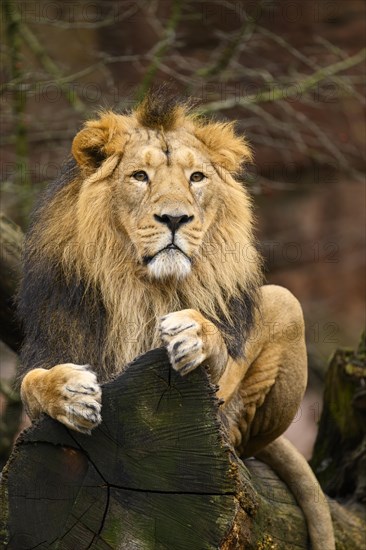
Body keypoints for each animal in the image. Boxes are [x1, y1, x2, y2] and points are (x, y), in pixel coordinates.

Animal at [19, 92, 334, 548]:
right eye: (140, 176)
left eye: (196, 177)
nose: (174, 218)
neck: (145, 290)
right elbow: (30, 383)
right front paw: (68, 391)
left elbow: (214, 348)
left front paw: (195, 334)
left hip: (286, 302)